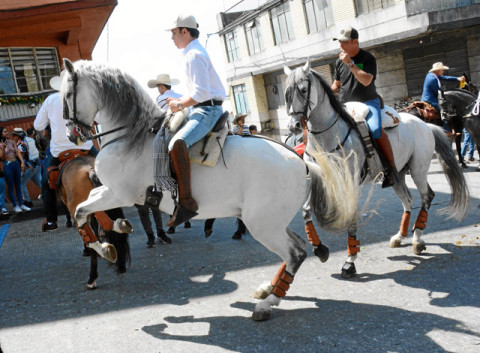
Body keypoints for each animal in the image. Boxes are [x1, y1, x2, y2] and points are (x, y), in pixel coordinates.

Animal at [58, 155, 131, 288]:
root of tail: (90, 169)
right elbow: (95, 225)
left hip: (77, 208)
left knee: (86, 231)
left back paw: (93, 274)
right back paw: (119, 227)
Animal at [284, 60, 468, 278]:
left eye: (303, 90)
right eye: (286, 93)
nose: (294, 126)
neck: (329, 137)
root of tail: (425, 125)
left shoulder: (352, 184)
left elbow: (352, 219)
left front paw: (350, 261)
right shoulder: (321, 181)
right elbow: (305, 211)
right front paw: (320, 249)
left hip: (418, 170)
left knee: (426, 197)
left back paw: (417, 239)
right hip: (398, 175)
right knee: (408, 200)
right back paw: (400, 236)